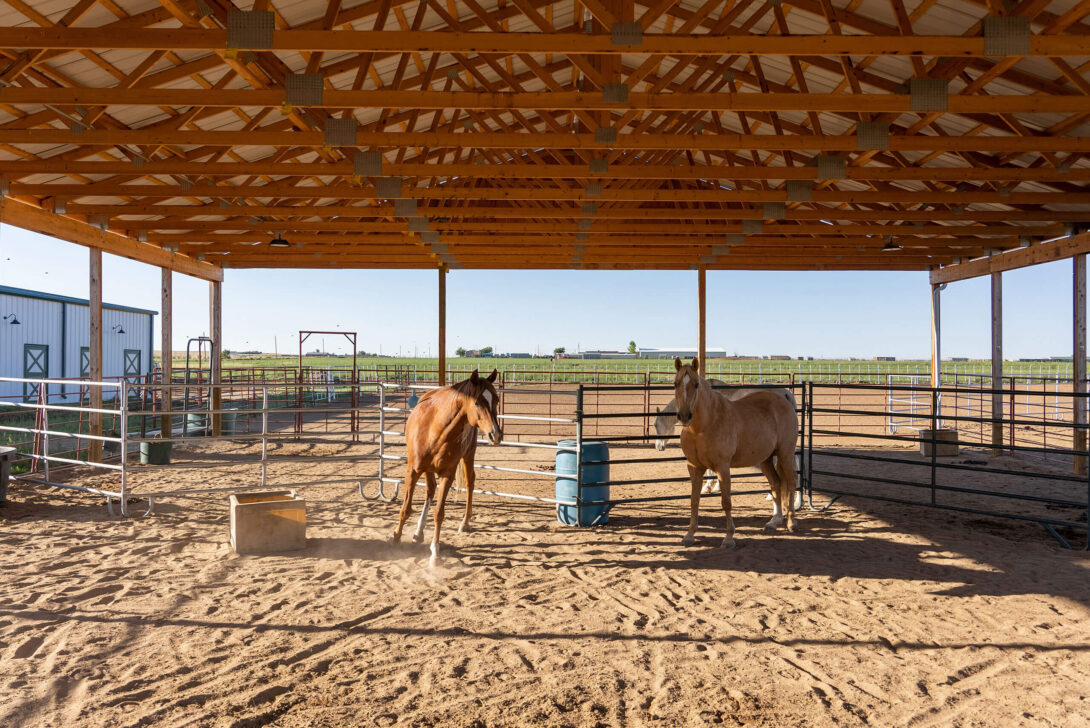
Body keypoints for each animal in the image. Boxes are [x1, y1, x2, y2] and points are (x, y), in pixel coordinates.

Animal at [392, 370, 501, 566]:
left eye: (496, 399)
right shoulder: (413, 470)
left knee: (470, 482)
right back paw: (418, 532)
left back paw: (465, 523)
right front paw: (396, 536)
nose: (495, 435)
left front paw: (435, 553)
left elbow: (439, 514)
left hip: (468, 454)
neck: (436, 430)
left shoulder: (447, 475)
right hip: (426, 469)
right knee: (430, 490)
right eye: (477, 402)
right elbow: (406, 508)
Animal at [671, 355, 802, 549]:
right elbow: (694, 501)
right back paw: (773, 521)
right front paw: (689, 535)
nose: (685, 416)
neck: (703, 427)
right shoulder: (694, 467)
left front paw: (728, 538)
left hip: (785, 453)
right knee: (776, 483)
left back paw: (791, 522)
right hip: (766, 459)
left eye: (696, 384)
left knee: (791, 482)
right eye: (675, 383)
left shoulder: (723, 468)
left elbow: (726, 502)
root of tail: (785, 400)